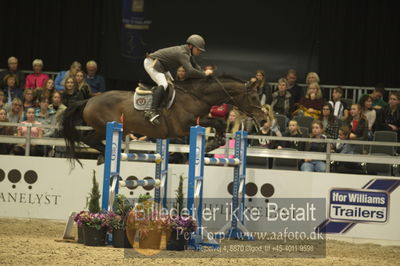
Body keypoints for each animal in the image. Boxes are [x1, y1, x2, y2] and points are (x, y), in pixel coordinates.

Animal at [61, 76, 266, 165]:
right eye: (253, 98)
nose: (264, 120)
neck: (197, 96)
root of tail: (89, 100)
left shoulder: (198, 121)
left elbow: (220, 124)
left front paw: (215, 142)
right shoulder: (184, 126)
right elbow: (217, 123)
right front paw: (209, 145)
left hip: (109, 128)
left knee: (89, 139)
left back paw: (105, 156)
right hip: (107, 126)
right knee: (88, 139)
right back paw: (107, 155)